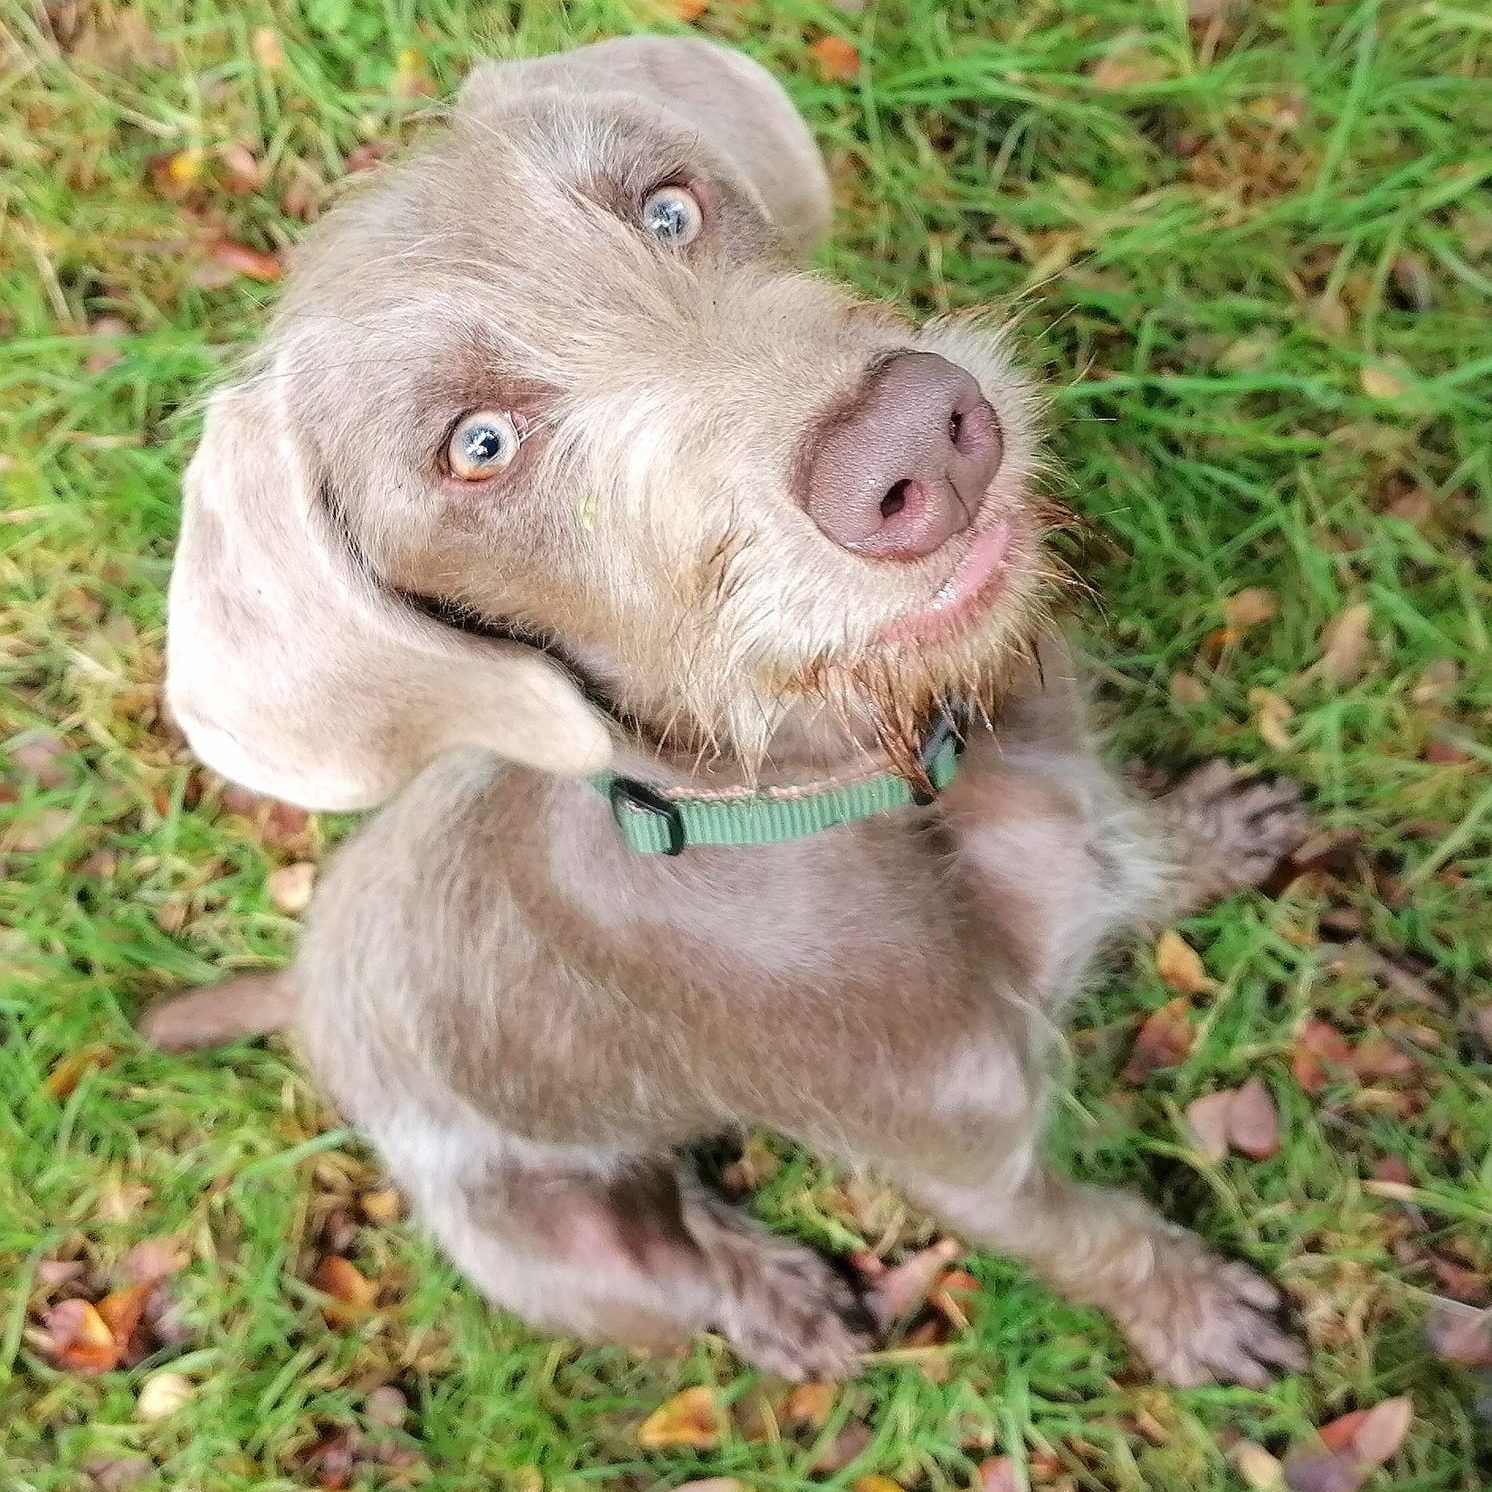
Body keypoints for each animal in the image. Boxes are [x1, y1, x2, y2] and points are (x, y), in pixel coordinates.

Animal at [140, 35, 1306, 1384]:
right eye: (477, 447)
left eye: (669, 208)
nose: (916, 440)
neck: (885, 779)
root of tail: (305, 993)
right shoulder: (959, 1144)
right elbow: (1094, 1233)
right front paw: (1194, 1312)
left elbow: (1137, 841)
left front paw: (1212, 840)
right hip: (566, 1256)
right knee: (682, 1258)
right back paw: (777, 1298)